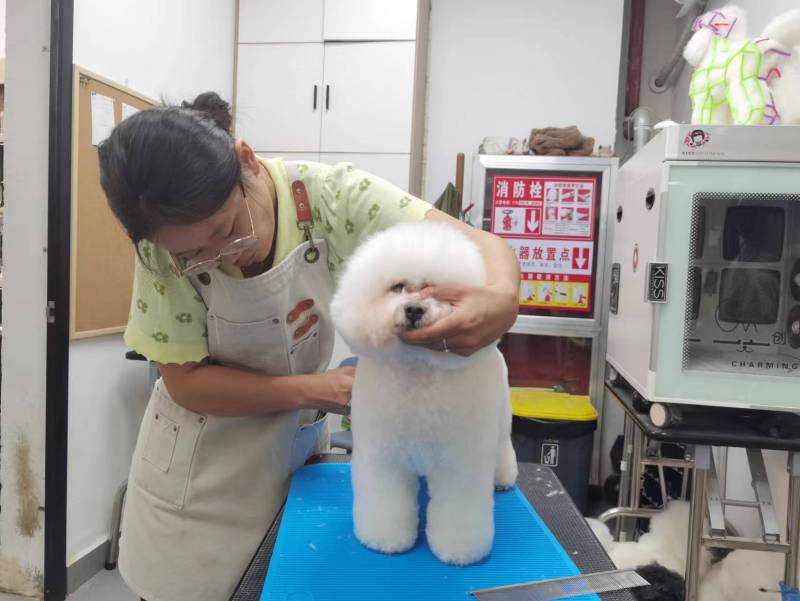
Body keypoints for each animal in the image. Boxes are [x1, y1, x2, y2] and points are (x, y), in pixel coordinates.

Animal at [332, 219, 520, 564]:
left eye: (434, 288)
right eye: (398, 287)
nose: (414, 310)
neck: (417, 371)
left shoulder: (460, 464)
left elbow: (459, 511)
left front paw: (459, 551)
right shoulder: (384, 460)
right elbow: (386, 503)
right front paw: (385, 539)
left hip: (500, 423)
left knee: (503, 449)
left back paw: (501, 480)